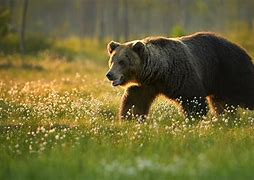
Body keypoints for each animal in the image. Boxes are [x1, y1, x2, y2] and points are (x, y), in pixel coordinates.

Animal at [105, 32, 254, 119]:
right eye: (112, 60)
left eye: (122, 62)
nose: (110, 74)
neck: (159, 72)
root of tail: (241, 48)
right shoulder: (146, 85)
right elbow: (135, 102)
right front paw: (130, 118)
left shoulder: (181, 76)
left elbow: (193, 100)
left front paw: (193, 119)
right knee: (221, 104)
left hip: (230, 69)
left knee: (246, 91)